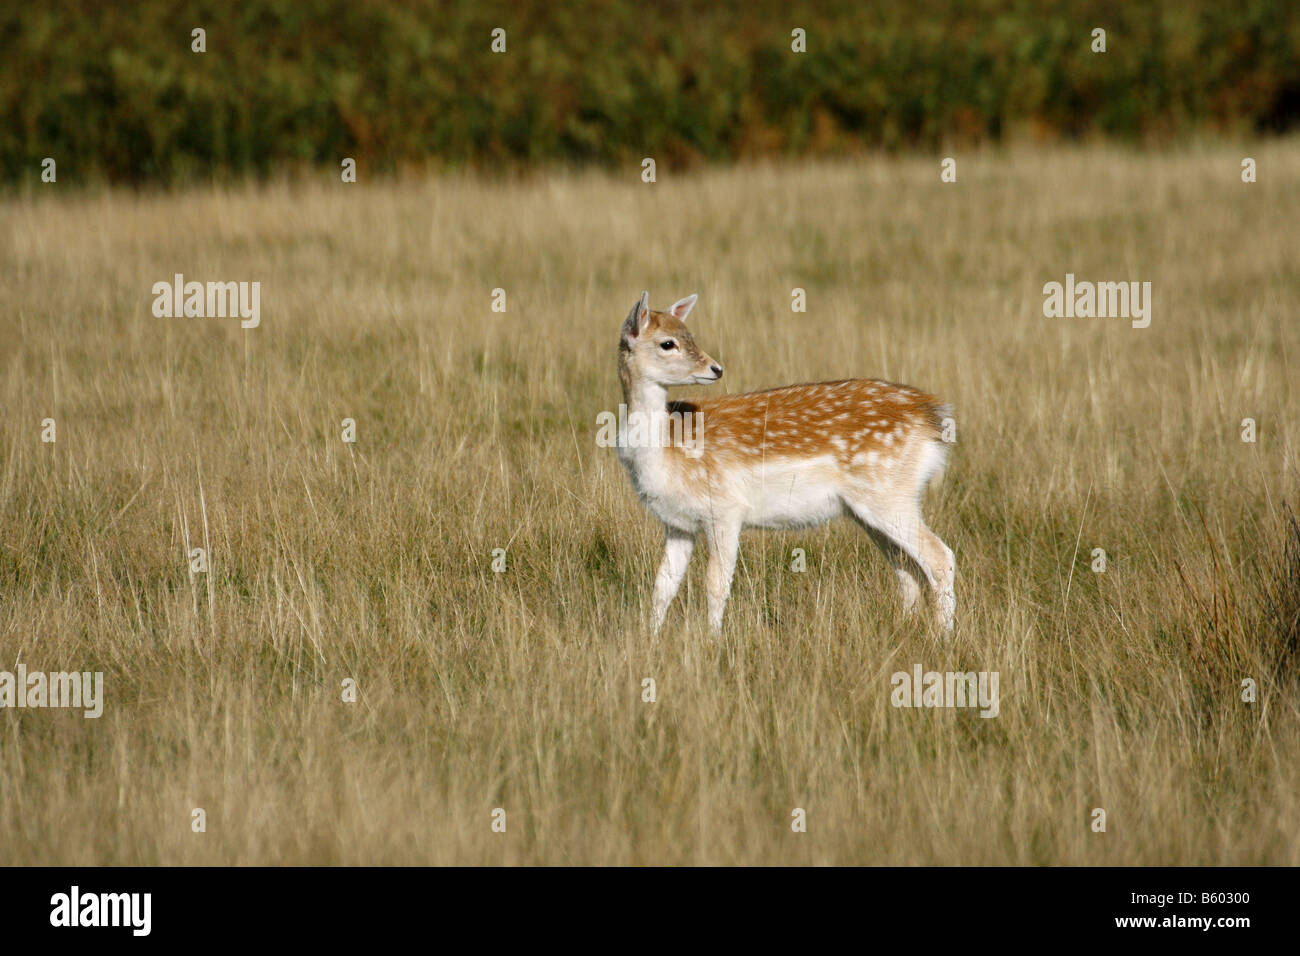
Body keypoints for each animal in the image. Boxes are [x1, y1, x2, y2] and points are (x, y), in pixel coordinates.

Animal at [608, 291, 956, 634]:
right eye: (668, 343)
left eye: (689, 335)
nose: (715, 368)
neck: (666, 454)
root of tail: (934, 418)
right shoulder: (677, 523)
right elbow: (663, 586)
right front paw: (651, 639)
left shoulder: (725, 508)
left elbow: (715, 584)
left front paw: (713, 641)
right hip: (869, 509)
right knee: (906, 568)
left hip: (888, 494)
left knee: (940, 557)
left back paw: (944, 636)